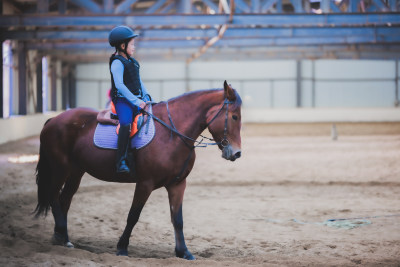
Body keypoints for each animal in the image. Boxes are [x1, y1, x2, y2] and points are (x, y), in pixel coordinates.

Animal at [34, 80, 242, 260]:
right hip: (60, 168)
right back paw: (62, 235)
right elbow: (133, 216)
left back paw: (62, 238)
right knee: (54, 196)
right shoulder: (145, 183)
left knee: (64, 200)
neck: (171, 134)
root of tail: (54, 119)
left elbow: (178, 219)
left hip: (76, 171)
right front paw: (122, 248)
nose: (237, 153)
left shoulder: (177, 184)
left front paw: (183, 252)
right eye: (234, 116)